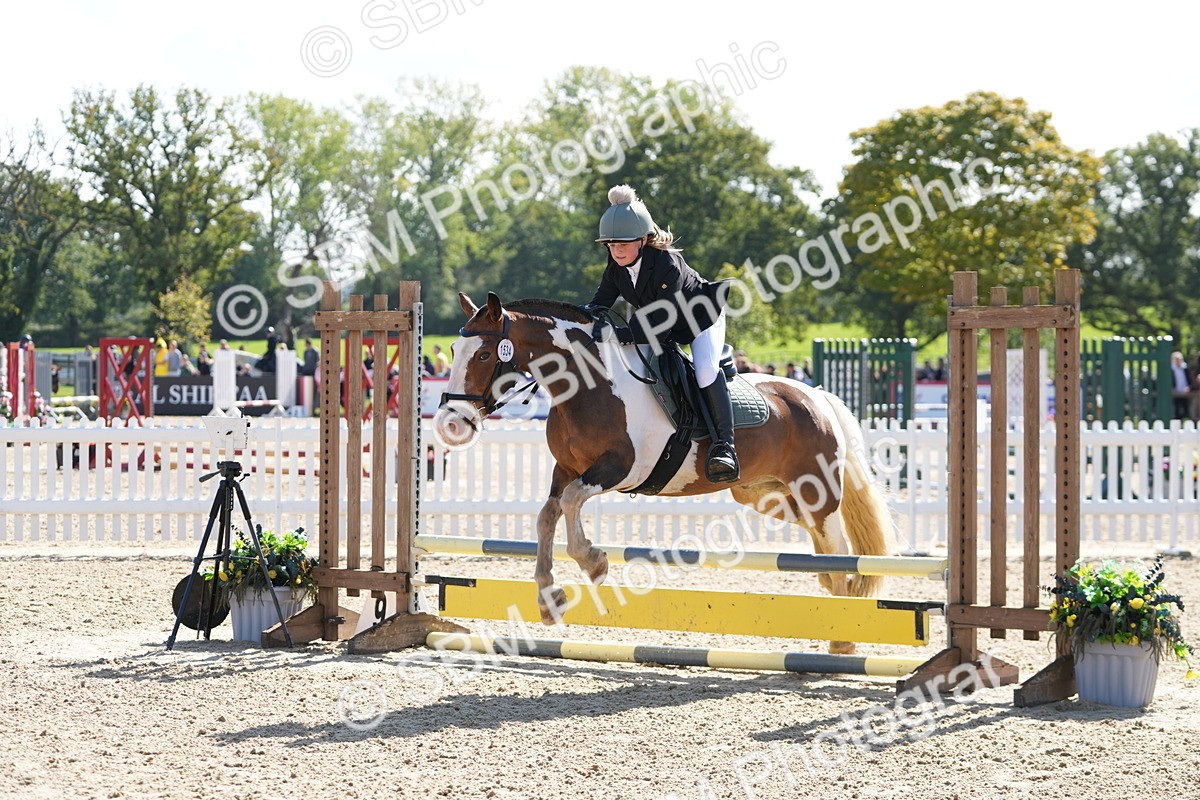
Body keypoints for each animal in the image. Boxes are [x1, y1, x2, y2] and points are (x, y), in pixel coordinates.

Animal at [433, 292, 896, 654]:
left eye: (484, 354)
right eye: (454, 353)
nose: (450, 424)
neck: (589, 385)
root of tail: (816, 396)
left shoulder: (619, 468)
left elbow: (570, 503)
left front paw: (594, 563)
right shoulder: (566, 469)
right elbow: (548, 514)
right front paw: (550, 599)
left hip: (817, 491)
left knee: (837, 546)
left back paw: (842, 638)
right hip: (761, 492)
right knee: (817, 539)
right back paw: (828, 591)